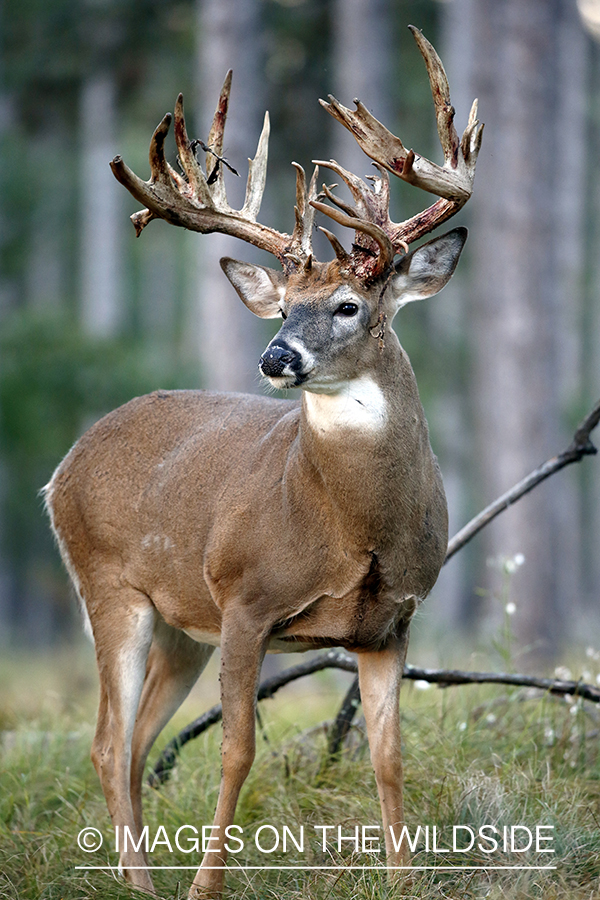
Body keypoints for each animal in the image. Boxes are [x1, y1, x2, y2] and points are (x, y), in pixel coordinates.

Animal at [44, 24, 480, 896]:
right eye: (281, 308)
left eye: (347, 306)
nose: (276, 356)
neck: (352, 530)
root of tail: (61, 469)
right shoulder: (245, 599)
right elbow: (237, 749)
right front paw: (205, 886)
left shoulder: (391, 623)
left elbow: (388, 755)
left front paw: (405, 879)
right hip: (110, 585)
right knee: (108, 741)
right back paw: (144, 883)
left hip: (181, 623)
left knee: (134, 743)